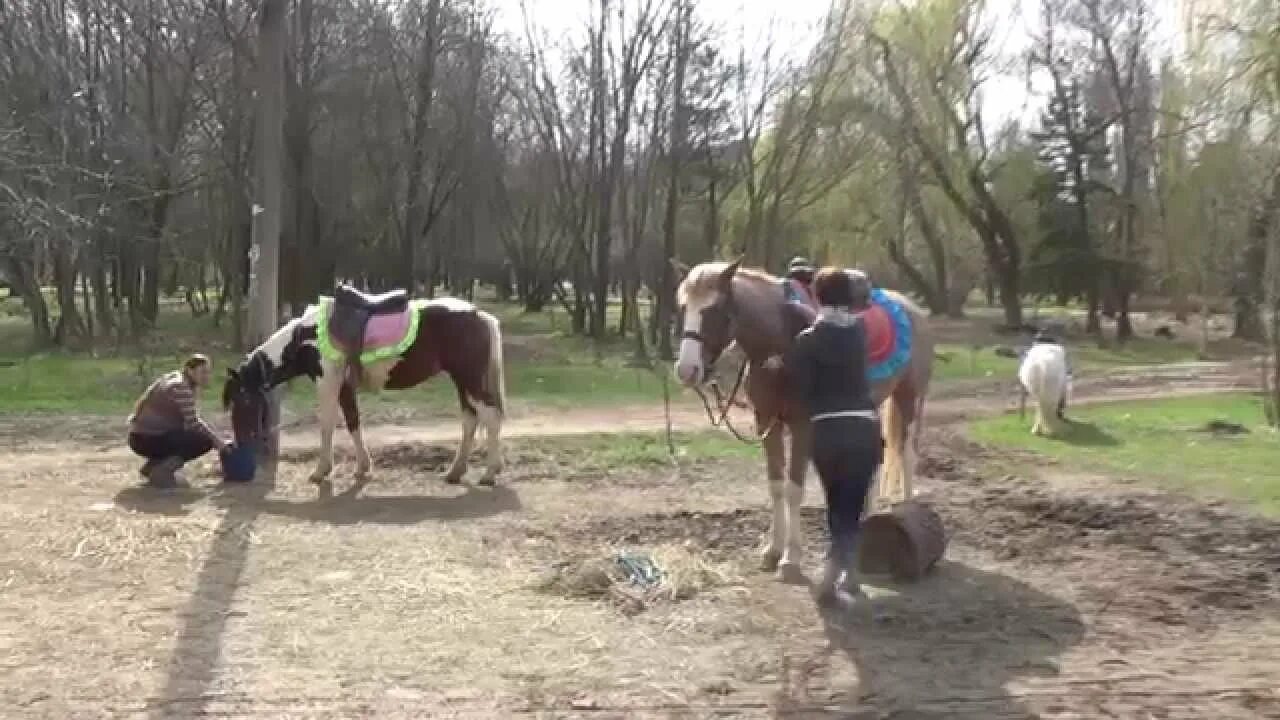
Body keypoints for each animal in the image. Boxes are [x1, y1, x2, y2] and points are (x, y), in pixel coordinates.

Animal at [222, 288, 506, 484]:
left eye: (242, 401)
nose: (239, 443)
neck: (304, 338)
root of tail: (480, 315)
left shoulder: (328, 383)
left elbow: (327, 424)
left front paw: (321, 471)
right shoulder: (344, 387)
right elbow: (352, 422)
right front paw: (362, 467)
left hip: (470, 380)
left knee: (490, 417)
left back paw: (490, 473)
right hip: (461, 380)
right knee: (470, 419)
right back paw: (455, 472)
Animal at [675, 260, 936, 579]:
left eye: (714, 310)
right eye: (683, 307)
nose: (686, 370)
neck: (780, 346)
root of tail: (913, 309)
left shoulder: (803, 427)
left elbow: (794, 490)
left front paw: (791, 559)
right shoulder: (767, 422)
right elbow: (776, 486)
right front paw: (772, 551)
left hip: (909, 397)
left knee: (906, 454)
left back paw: (908, 514)